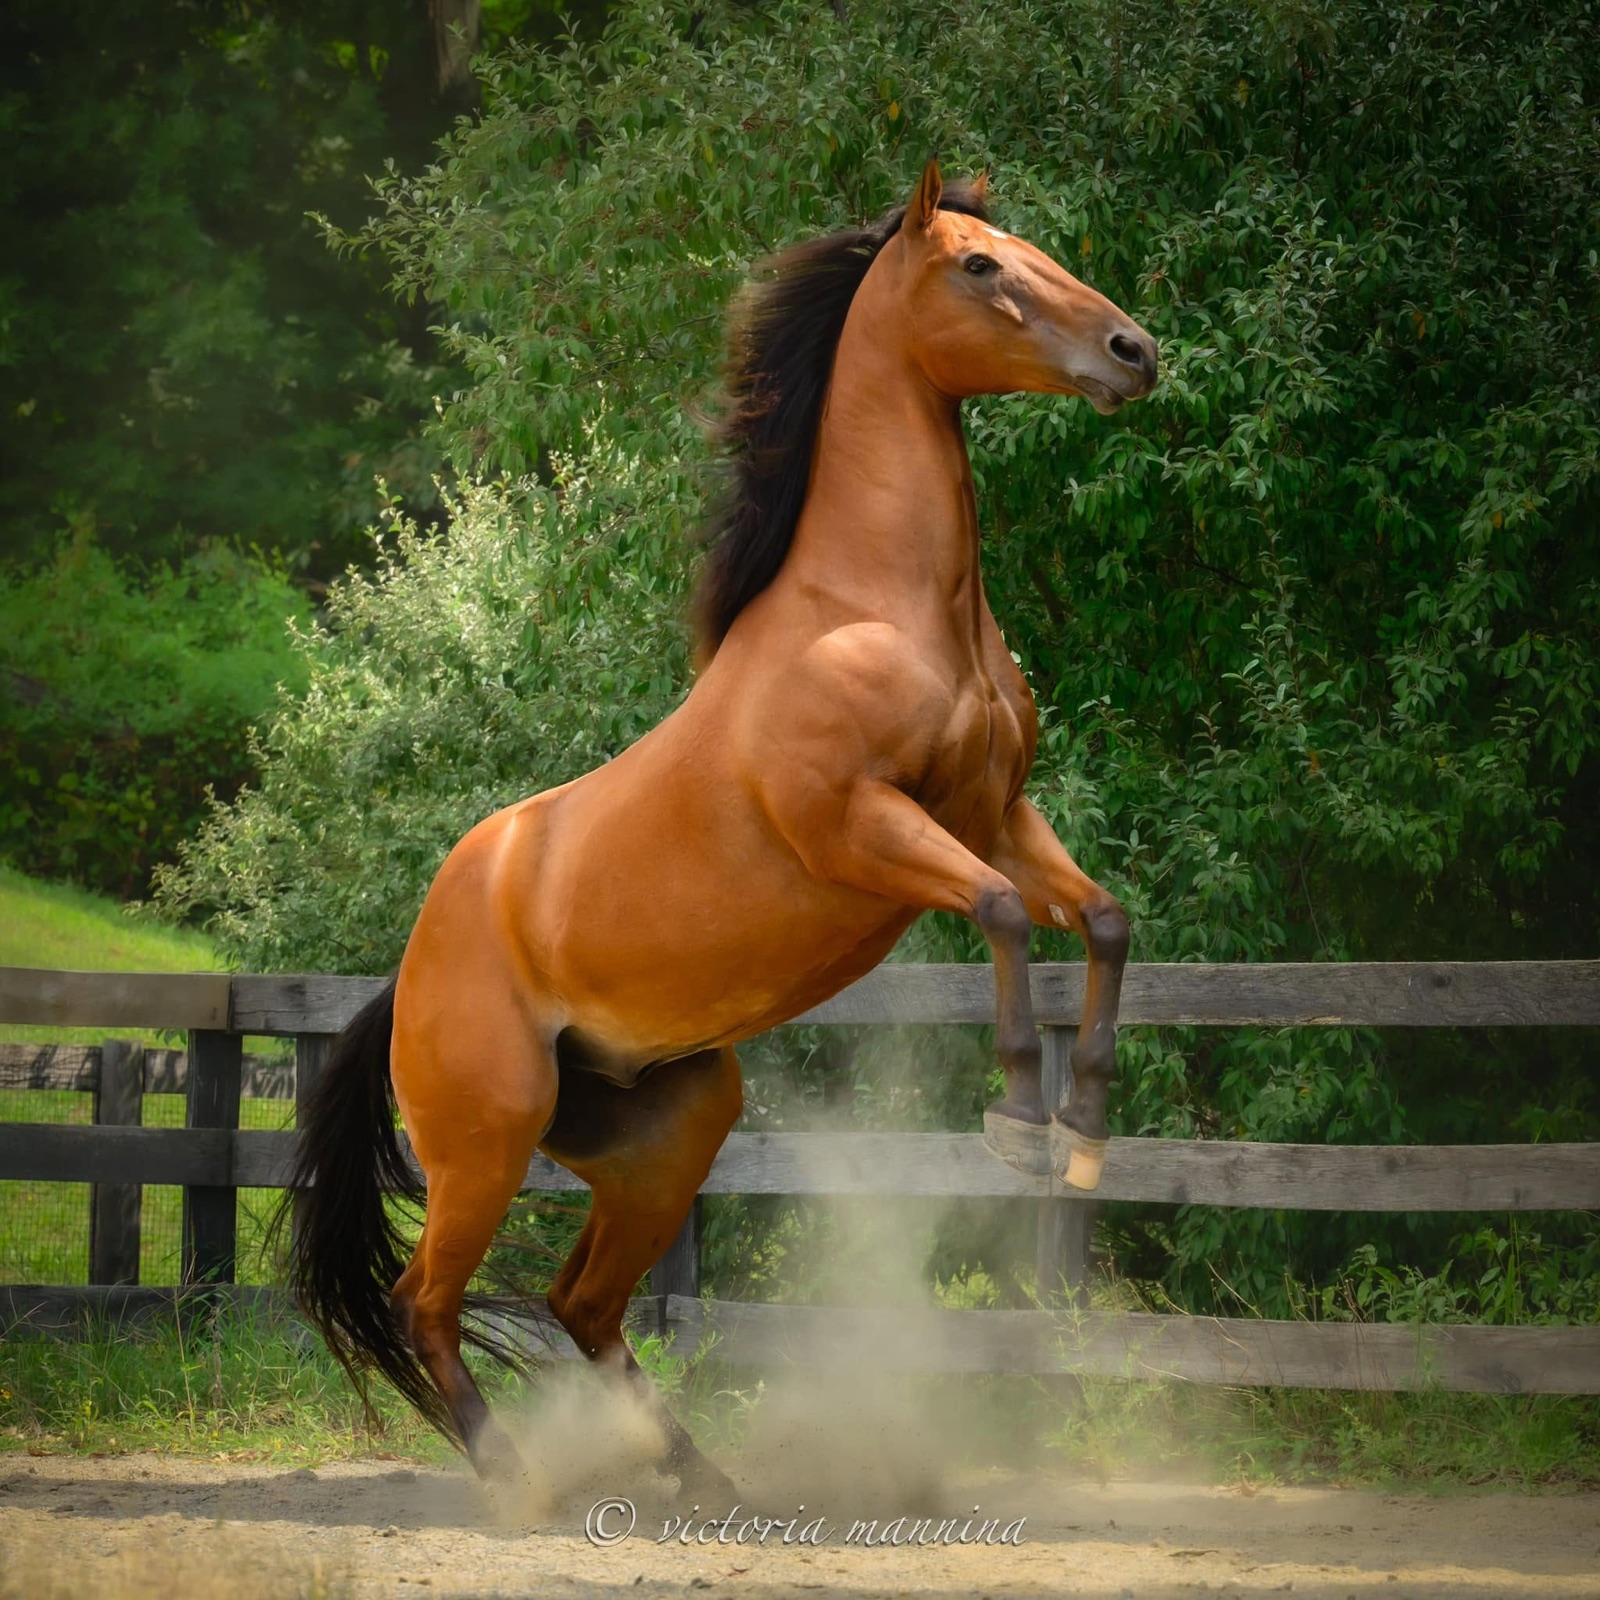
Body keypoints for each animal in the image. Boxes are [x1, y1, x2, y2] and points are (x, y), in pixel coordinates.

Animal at [288, 159, 1158, 1494]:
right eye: (979, 267)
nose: (1134, 351)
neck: (879, 610)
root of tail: (408, 974)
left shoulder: (999, 813)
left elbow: (1099, 921)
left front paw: (1088, 1131)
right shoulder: (865, 831)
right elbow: (1006, 912)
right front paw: (1018, 1123)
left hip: (667, 1135)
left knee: (582, 1304)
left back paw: (704, 1479)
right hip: (485, 1148)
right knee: (423, 1300)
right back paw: (516, 1482)